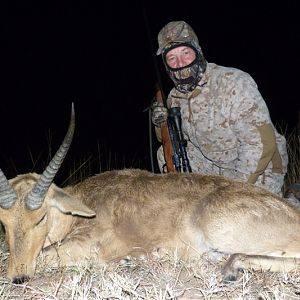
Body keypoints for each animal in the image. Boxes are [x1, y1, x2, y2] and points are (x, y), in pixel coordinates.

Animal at [0, 105, 300, 284]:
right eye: (4, 223)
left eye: (40, 218)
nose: (18, 277)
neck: (82, 205)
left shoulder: (86, 244)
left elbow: (47, 254)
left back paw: (232, 268)